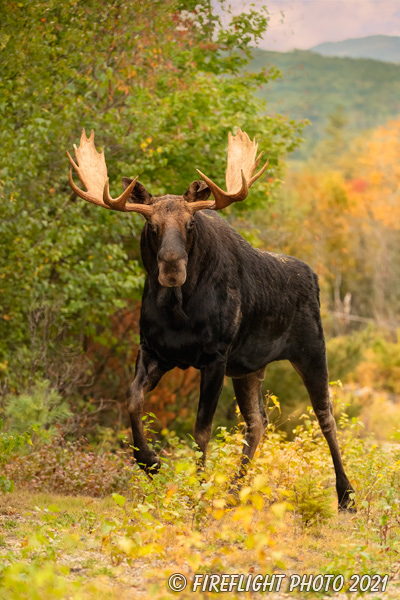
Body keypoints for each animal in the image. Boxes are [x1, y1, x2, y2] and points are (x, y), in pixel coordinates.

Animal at [67, 129, 354, 508]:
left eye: (190, 223)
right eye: (151, 225)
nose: (172, 267)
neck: (178, 311)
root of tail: (315, 277)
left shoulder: (215, 357)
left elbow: (201, 430)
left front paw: (199, 489)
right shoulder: (154, 350)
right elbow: (132, 399)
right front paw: (150, 462)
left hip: (312, 351)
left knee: (326, 416)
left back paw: (346, 494)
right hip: (249, 368)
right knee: (257, 422)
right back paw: (235, 490)